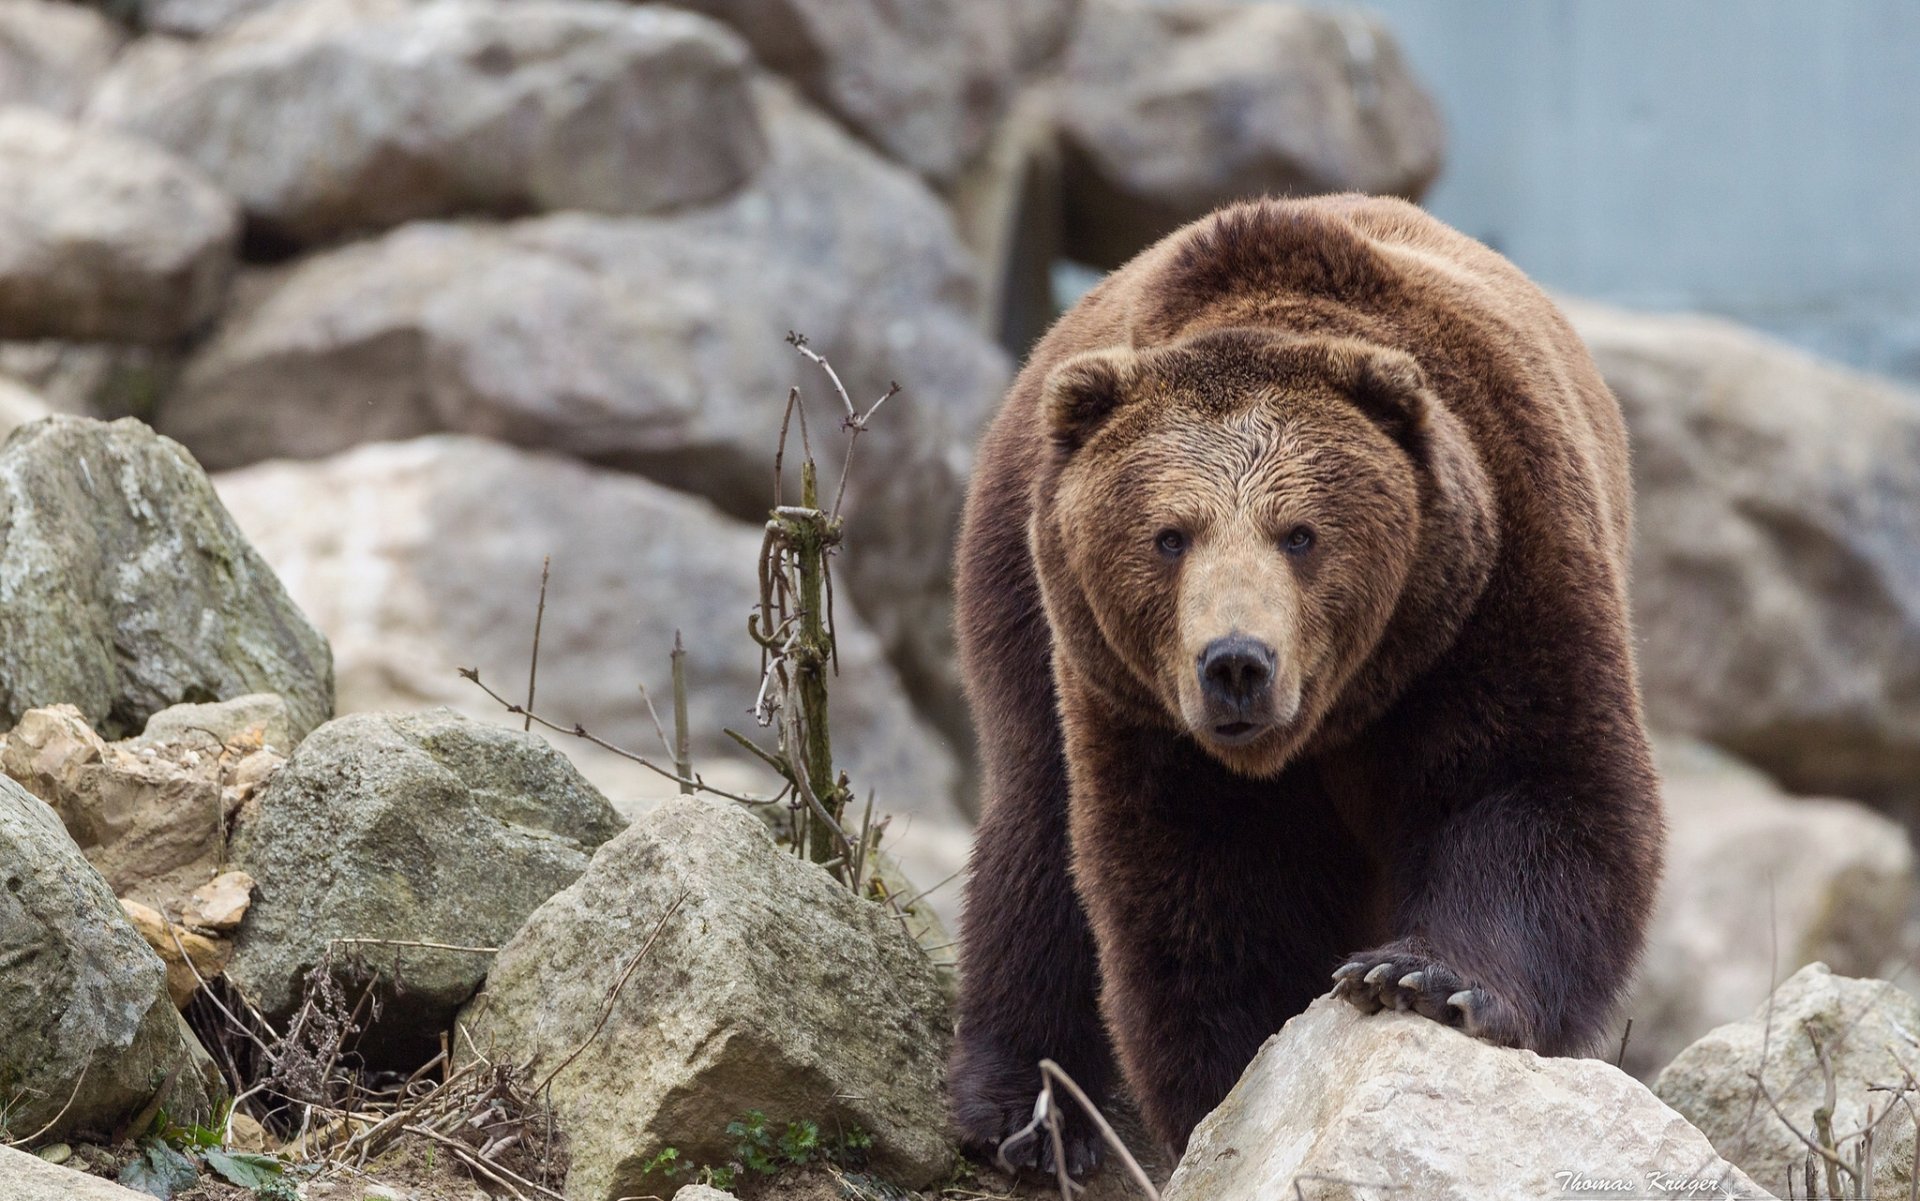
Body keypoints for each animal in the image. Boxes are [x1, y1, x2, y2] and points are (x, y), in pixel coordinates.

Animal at [947, 193, 1665, 1172]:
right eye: (1169, 535)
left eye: (1300, 533)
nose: (1236, 662)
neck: (1333, 716)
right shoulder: (1144, 714)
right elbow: (1203, 885)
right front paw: (1234, 1080)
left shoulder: (1493, 588)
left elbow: (1530, 786)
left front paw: (1418, 976)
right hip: (1019, 598)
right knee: (1035, 826)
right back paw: (1022, 1111)